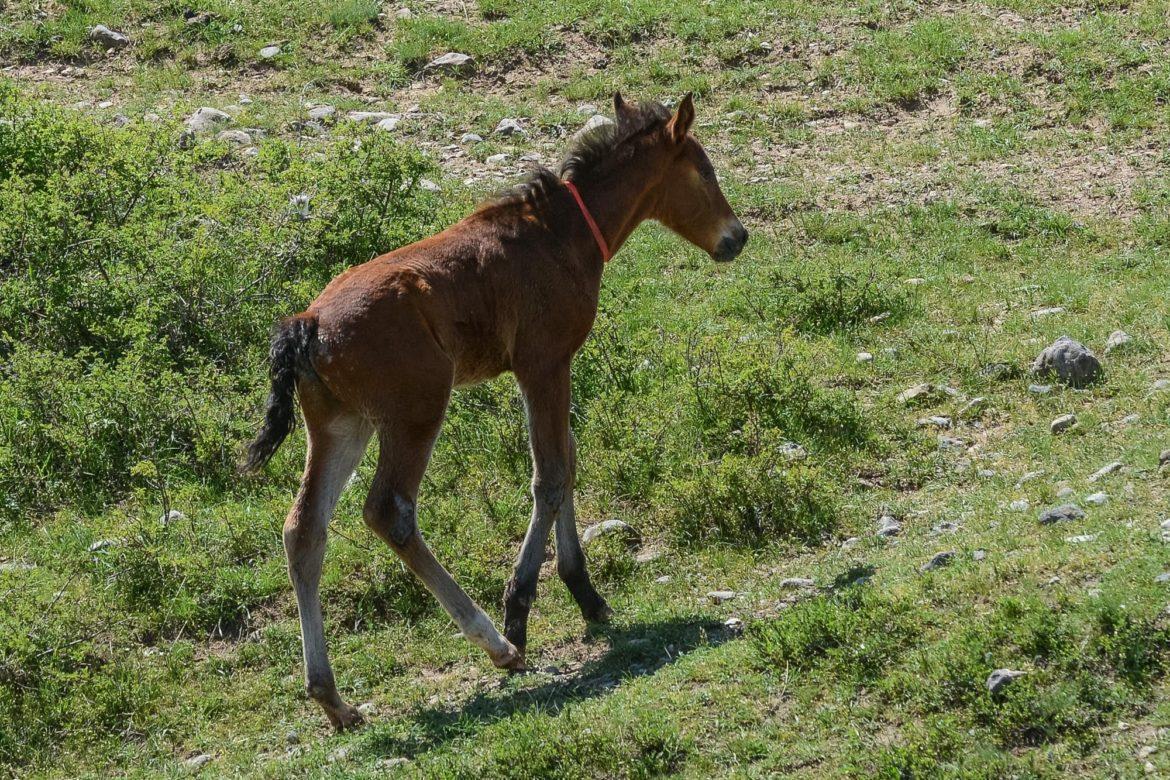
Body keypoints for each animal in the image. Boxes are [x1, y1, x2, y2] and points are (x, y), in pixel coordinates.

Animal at [243, 92, 747, 730]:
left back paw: (333, 700)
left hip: (340, 426)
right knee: (390, 512)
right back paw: (498, 645)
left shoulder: (546, 371)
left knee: (304, 529)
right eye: (703, 170)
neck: (562, 234)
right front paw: (521, 608)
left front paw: (587, 595)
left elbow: (567, 464)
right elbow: (551, 474)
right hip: (415, 412)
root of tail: (305, 327)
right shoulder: (544, 363)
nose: (737, 237)